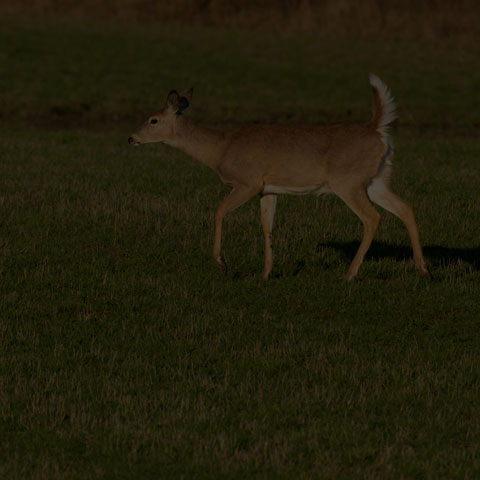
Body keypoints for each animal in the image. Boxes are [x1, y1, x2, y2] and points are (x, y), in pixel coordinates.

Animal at [129, 76, 430, 282]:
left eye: (153, 120)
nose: (131, 138)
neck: (221, 149)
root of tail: (377, 128)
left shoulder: (248, 182)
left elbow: (219, 211)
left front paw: (222, 263)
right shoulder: (267, 188)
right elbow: (267, 226)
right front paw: (266, 273)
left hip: (348, 181)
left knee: (372, 218)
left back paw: (350, 274)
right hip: (376, 179)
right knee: (406, 207)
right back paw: (422, 268)